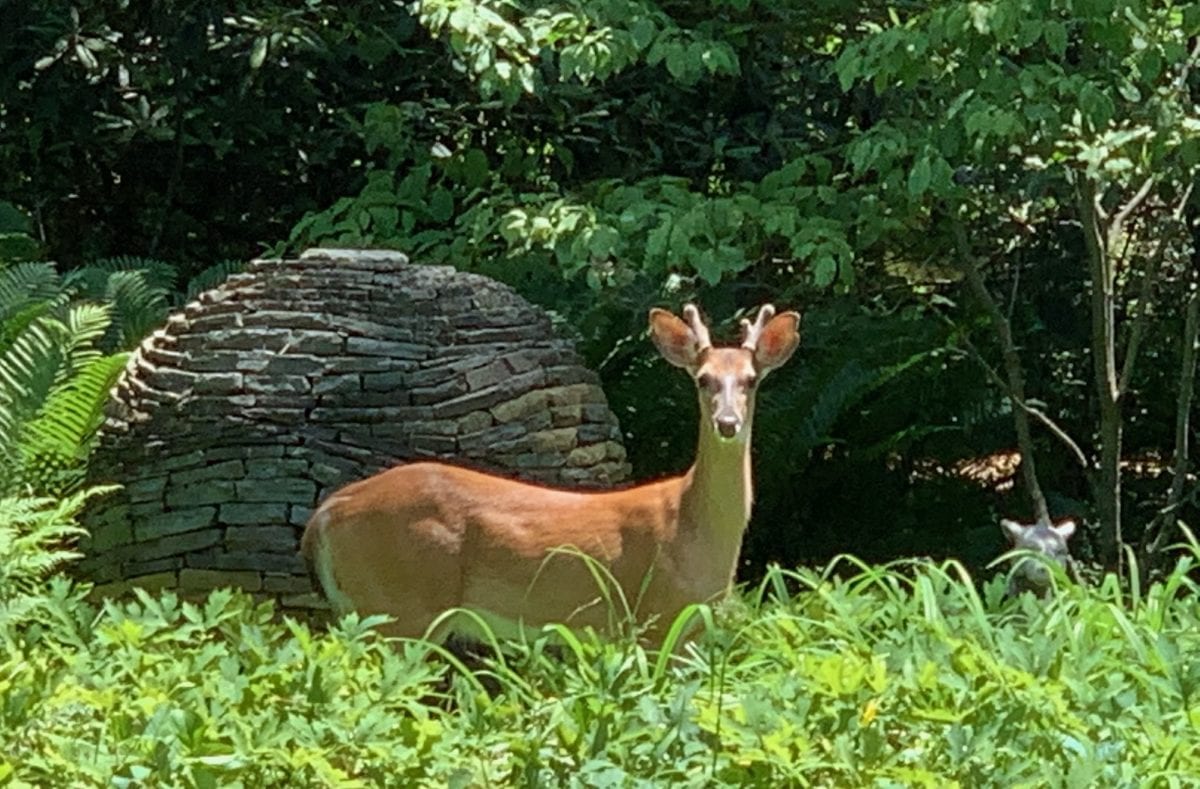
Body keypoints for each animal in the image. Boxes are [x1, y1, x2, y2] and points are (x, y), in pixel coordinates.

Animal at [300, 300, 801, 647]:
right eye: (703, 379)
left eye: (751, 379)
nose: (727, 422)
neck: (691, 528)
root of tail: (325, 514)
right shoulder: (654, 618)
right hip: (400, 602)